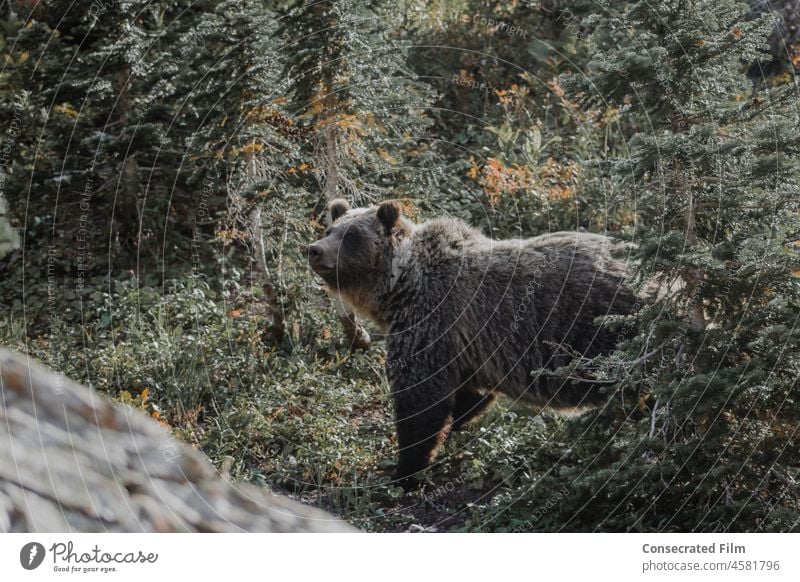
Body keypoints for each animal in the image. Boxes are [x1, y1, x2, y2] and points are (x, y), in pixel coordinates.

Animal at [308, 200, 636, 488]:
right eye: (330, 229)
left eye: (351, 236)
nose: (314, 249)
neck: (401, 284)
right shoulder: (467, 350)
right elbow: (468, 396)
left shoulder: (431, 323)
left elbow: (421, 398)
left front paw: (404, 472)